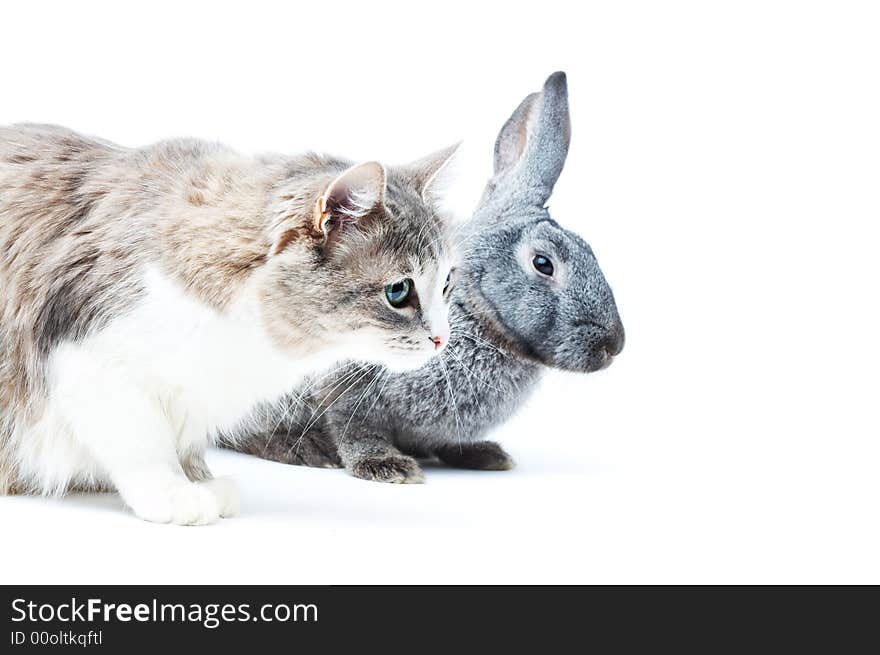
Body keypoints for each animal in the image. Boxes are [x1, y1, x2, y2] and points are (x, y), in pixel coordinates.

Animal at [0, 123, 454, 524]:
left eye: (447, 283)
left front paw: (201, 482)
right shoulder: (89, 357)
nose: (441, 339)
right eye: (398, 291)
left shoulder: (198, 395)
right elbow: (144, 445)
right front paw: (175, 493)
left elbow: (184, 445)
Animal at [223, 73, 624, 482]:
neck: (472, 312)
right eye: (543, 263)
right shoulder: (345, 380)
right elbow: (353, 426)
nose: (614, 346)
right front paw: (385, 466)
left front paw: (483, 454)